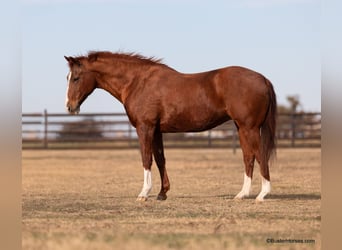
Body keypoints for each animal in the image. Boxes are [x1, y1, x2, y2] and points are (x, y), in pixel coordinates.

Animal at [65, 50, 278, 201]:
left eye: (75, 78)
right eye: (68, 78)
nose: (70, 107)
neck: (137, 82)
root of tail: (263, 79)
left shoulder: (145, 128)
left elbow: (146, 159)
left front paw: (144, 193)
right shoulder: (156, 131)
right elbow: (160, 159)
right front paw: (162, 193)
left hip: (250, 128)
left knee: (259, 155)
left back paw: (262, 194)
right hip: (241, 128)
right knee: (248, 157)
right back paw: (242, 194)